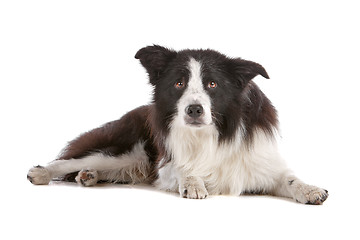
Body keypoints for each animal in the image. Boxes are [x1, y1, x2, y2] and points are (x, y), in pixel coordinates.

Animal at [26, 45, 328, 204]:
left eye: (212, 84)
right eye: (179, 83)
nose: (194, 109)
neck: (211, 134)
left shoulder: (260, 163)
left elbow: (289, 178)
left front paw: (310, 189)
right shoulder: (165, 164)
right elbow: (184, 168)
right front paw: (193, 182)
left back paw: (88, 175)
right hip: (127, 149)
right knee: (70, 160)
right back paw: (42, 173)